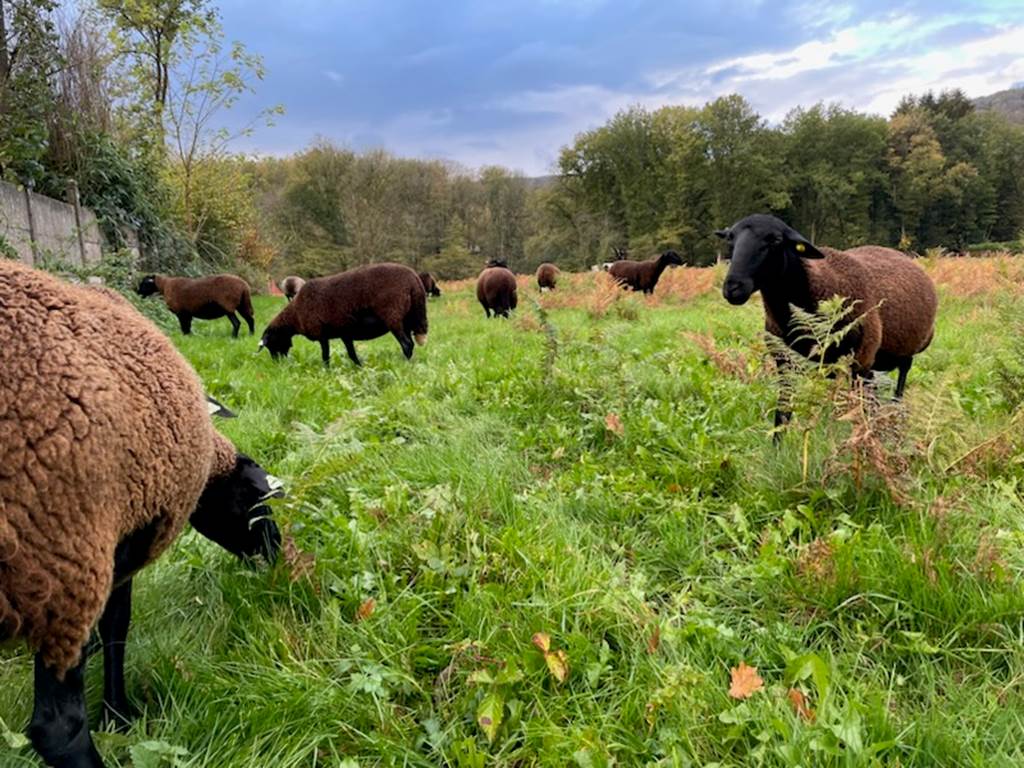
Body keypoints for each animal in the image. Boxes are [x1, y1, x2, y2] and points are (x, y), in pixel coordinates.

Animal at [0, 260, 282, 768]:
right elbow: (117, 630)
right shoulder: (118, 548)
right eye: (254, 502)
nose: (279, 551)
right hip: (60, 565)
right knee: (57, 728)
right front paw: (118, 715)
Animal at [262, 262, 430, 366]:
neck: (295, 314)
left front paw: (326, 372)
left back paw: (403, 363)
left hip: (393, 316)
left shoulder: (322, 334)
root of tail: (414, 279)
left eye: (271, 343)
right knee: (410, 343)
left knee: (406, 344)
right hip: (407, 319)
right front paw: (360, 367)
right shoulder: (345, 333)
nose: (278, 365)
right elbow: (351, 354)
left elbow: (325, 356)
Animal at [720, 215, 937, 434]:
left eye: (775, 239)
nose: (733, 287)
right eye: (730, 239)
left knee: (898, 387)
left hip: (899, 354)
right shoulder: (784, 362)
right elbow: (782, 414)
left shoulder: (860, 359)